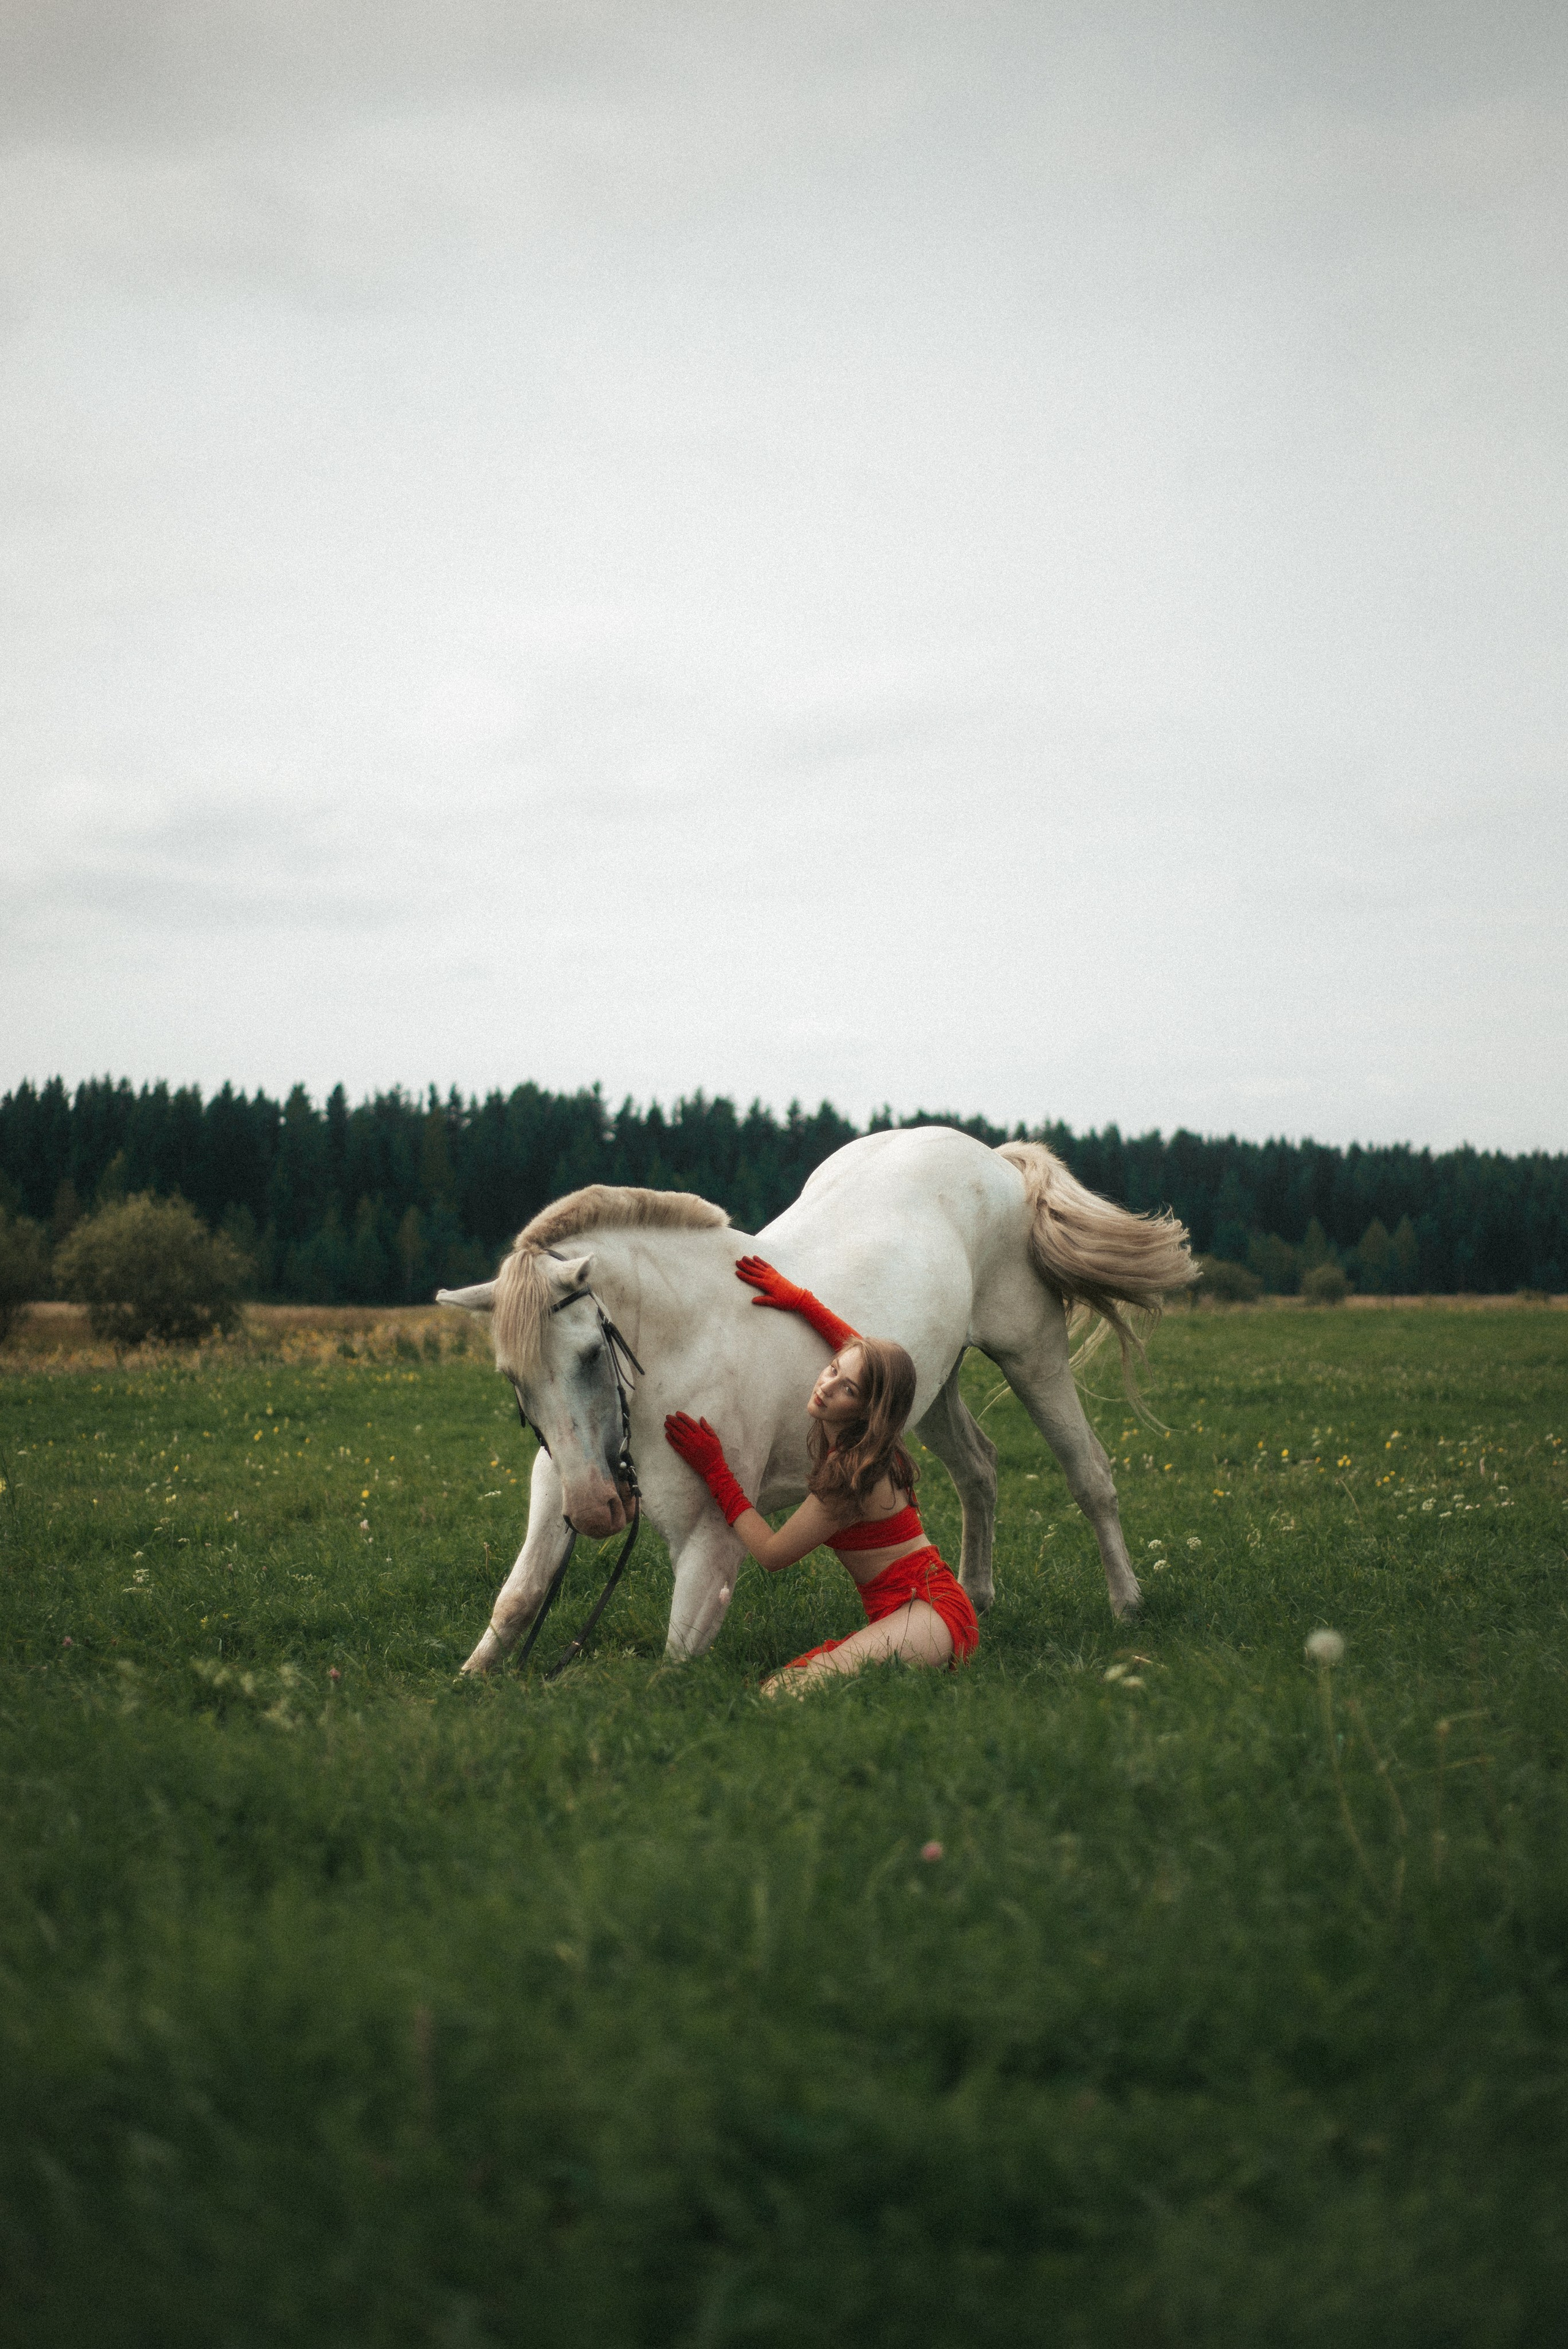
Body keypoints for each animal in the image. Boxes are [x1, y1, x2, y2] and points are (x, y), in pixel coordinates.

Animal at [437, 1124, 1196, 1672]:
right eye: (513, 1378)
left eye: (591, 1354)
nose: (598, 1512)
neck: (682, 1347)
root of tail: (995, 1159)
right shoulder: (558, 1484)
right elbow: (517, 1599)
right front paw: (470, 1686)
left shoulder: (708, 1540)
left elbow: (677, 1657)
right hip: (931, 1386)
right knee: (978, 1471)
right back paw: (979, 1598)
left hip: (1031, 1354)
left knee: (1087, 1473)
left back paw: (1126, 1605)